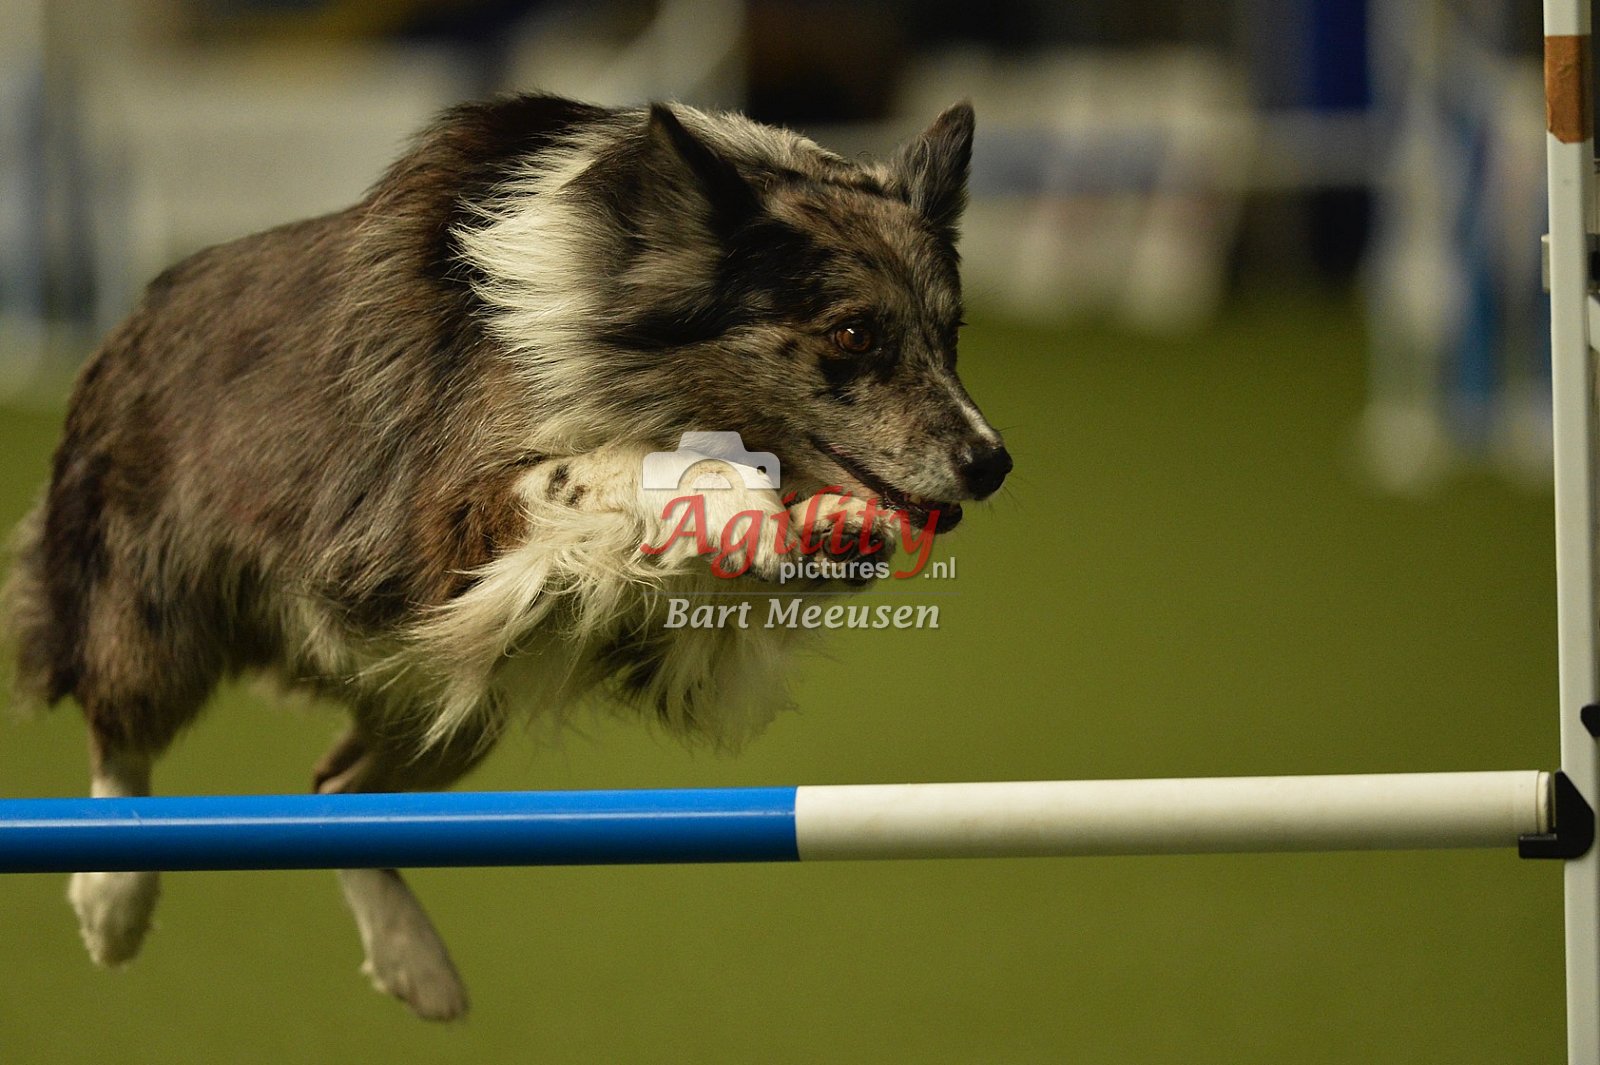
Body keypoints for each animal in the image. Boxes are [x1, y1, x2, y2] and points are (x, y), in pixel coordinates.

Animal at [3, 92, 1011, 1020]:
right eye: (853, 333)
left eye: (952, 331)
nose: (993, 462)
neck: (613, 312)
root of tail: (131, 323)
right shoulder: (440, 524)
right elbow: (618, 464)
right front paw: (738, 500)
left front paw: (825, 524)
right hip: (157, 620)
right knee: (120, 739)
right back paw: (113, 901)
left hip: (450, 701)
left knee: (334, 792)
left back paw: (414, 962)